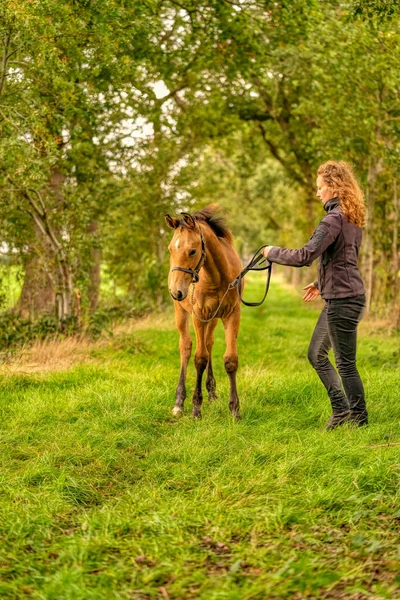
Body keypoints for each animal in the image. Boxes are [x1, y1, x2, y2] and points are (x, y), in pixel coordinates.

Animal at [165, 204, 242, 420]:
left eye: (192, 251)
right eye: (170, 249)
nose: (176, 291)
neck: (217, 278)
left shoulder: (232, 315)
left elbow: (230, 360)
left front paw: (235, 409)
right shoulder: (199, 315)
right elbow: (200, 359)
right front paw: (196, 409)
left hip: (212, 319)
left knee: (208, 343)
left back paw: (212, 392)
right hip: (182, 313)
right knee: (186, 346)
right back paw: (179, 402)